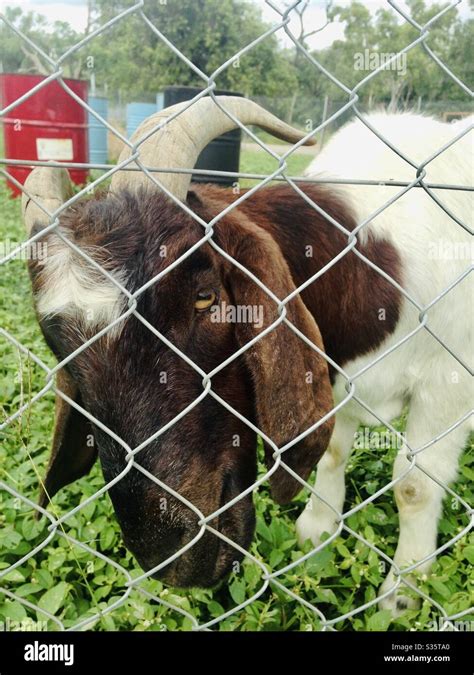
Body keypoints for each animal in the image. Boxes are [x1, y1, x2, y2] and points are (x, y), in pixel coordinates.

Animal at [22, 97, 470, 616]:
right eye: (60, 346)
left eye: (205, 297)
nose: (175, 560)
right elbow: (333, 451)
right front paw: (317, 529)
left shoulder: (448, 386)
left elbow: (414, 485)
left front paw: (404, 590)